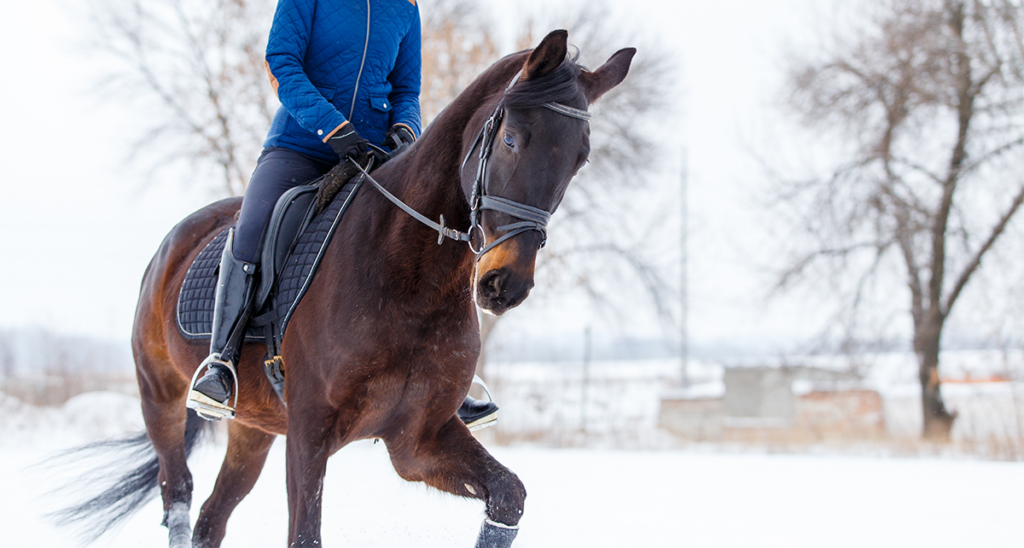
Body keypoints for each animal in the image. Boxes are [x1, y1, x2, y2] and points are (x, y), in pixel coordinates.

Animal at [58, 31, 630, 548]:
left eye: (579, 159)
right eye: (511, 139)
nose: (505, 284)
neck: (411, 280)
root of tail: (176, 240)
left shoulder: (417, 439)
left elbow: (508, 496)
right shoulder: (310, 433)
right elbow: (304, 534)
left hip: (253, 430)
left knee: (211, 519)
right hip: (160, 397)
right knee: (178, 493)